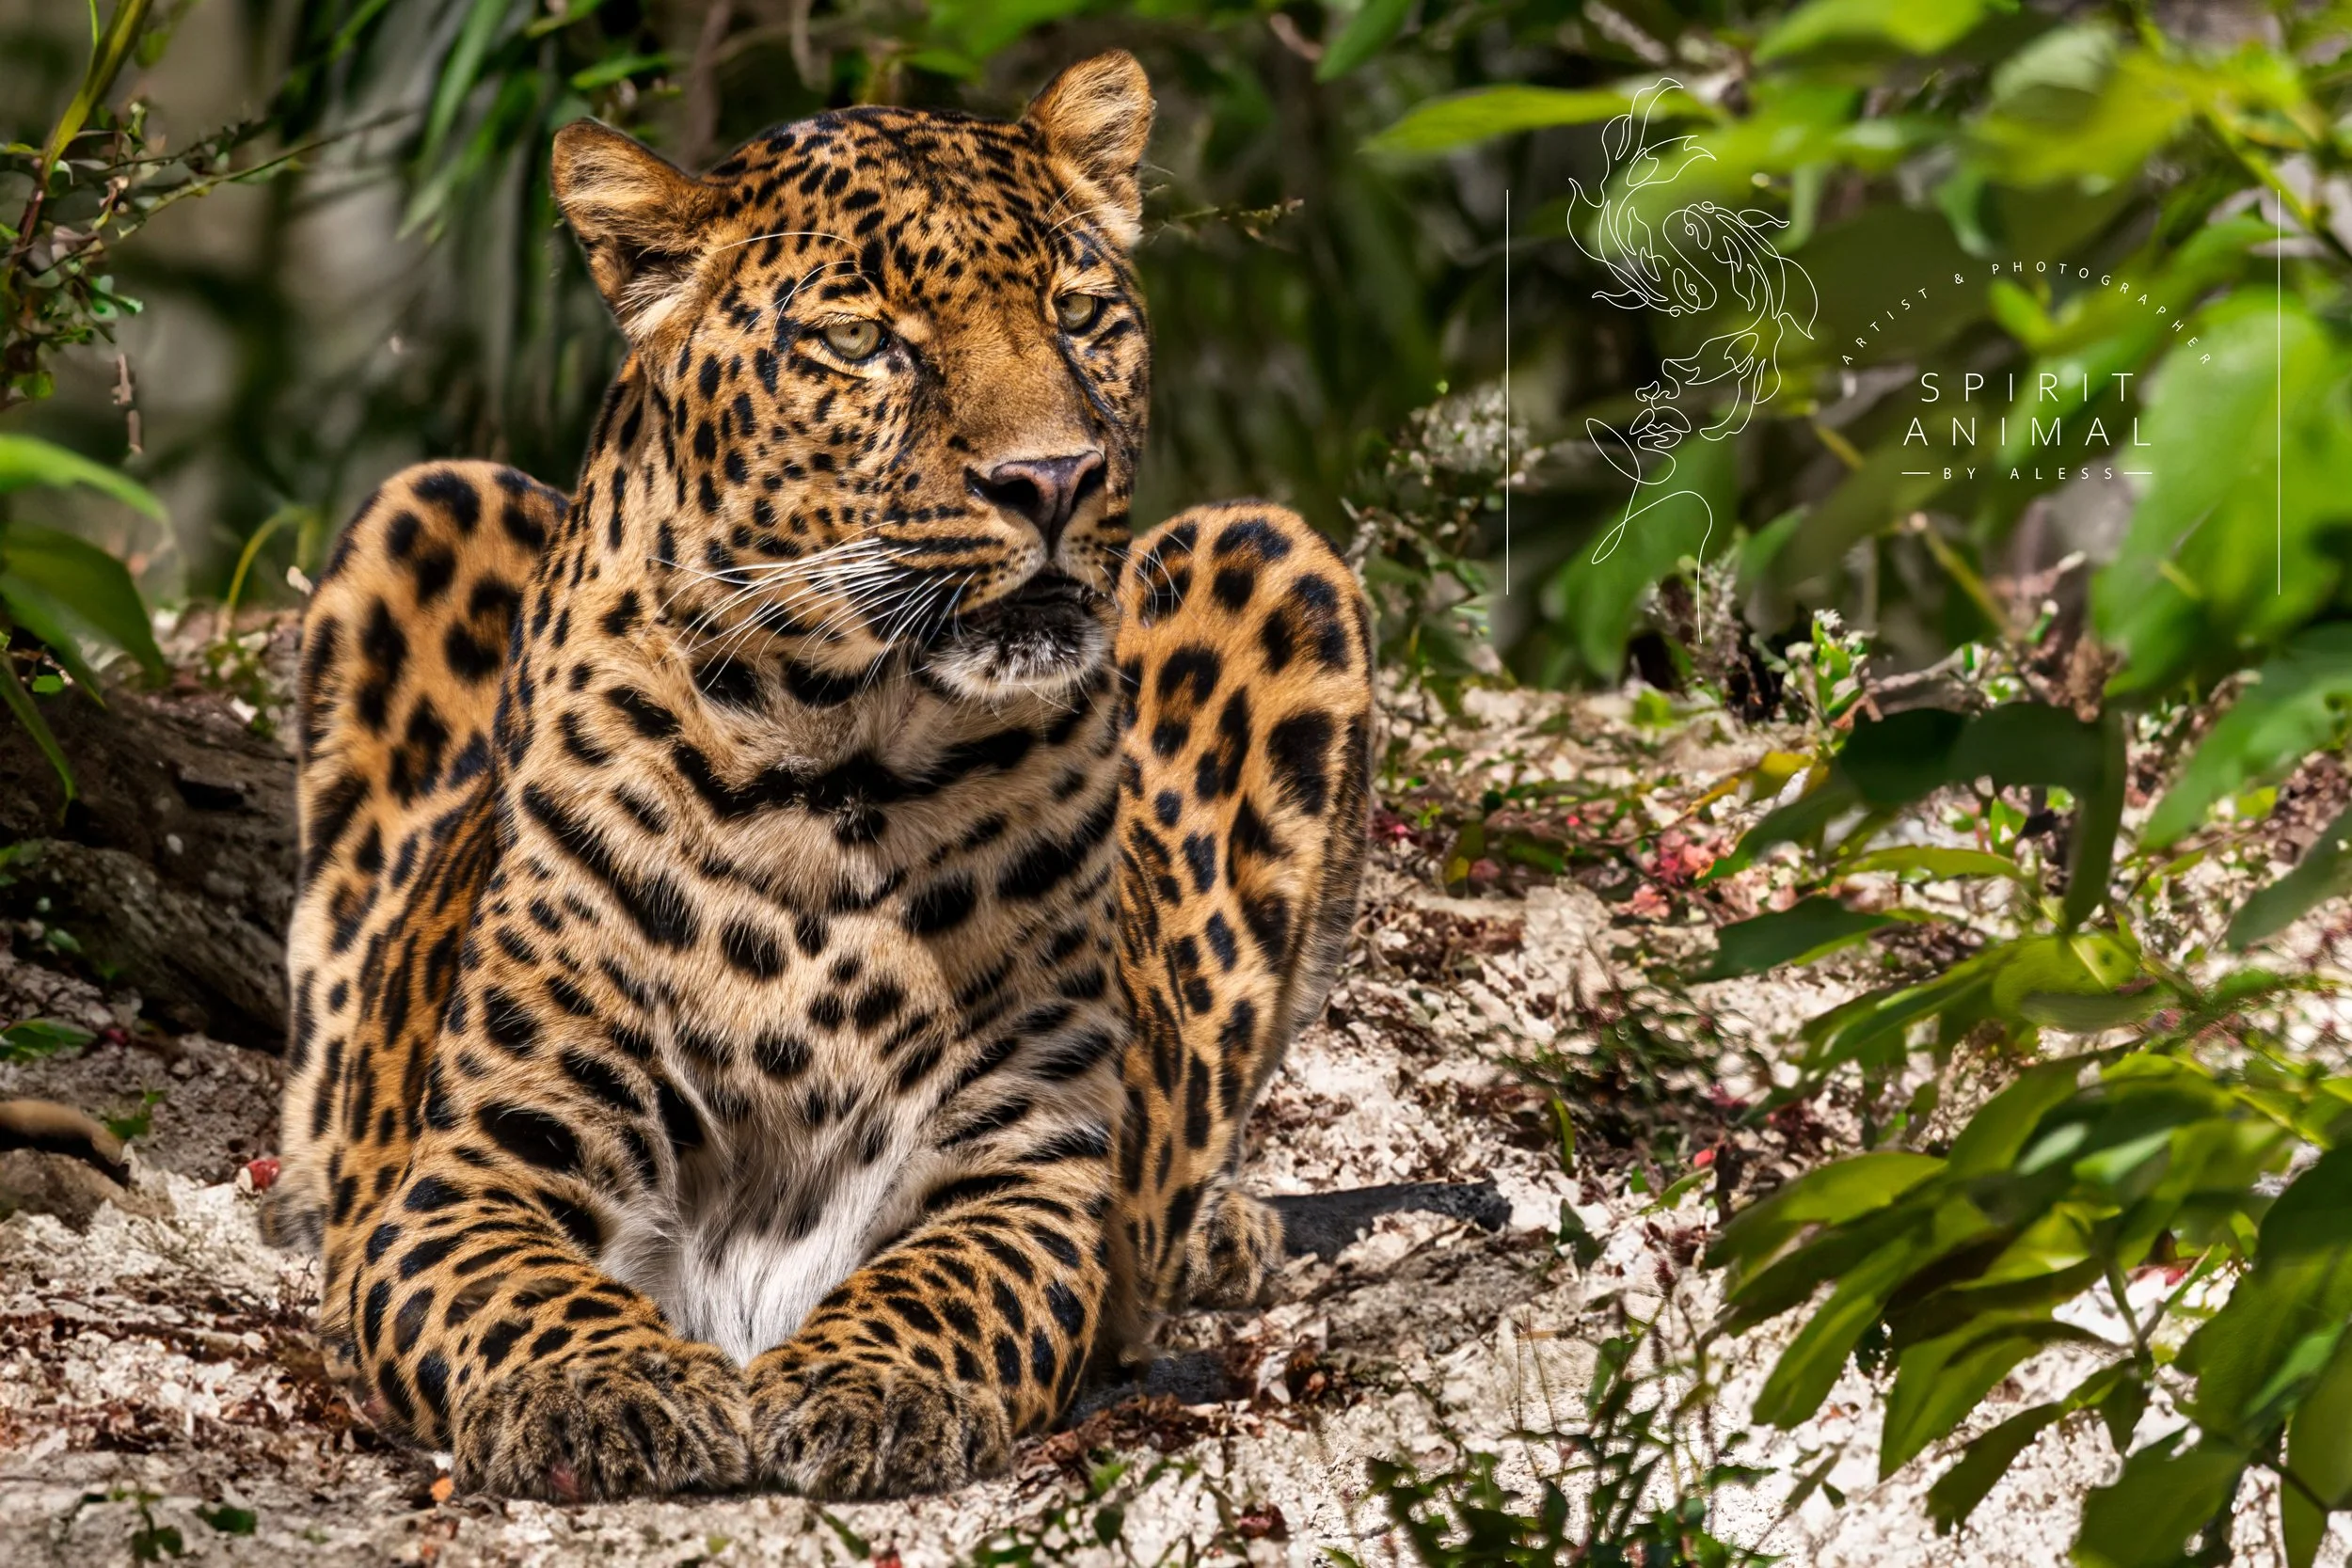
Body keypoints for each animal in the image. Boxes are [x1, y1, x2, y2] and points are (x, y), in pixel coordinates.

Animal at [264, 50, 1373, 1502]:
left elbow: (951, 1281)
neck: (831, 769)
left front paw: (871, 1381)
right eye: (862, 341)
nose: (1055, 476)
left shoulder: (1025, 1161)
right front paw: (604, 1386)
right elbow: (522, 1288)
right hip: (432, 498)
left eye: (1080, 315)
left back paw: (1222, 1228)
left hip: (1273, 553)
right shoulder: (476, 1165)